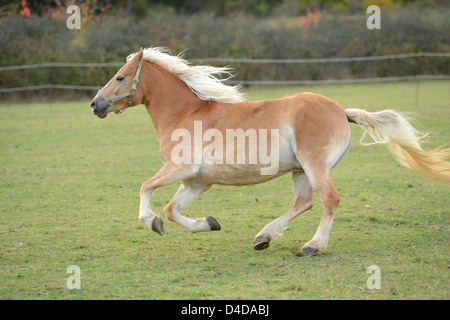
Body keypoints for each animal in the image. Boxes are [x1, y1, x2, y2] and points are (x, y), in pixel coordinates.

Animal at [91, 47, 450, 256]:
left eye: (120, 77)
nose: (96, 104)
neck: (184, 113)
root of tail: (341, 111)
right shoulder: (197, 182)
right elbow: (171, 209)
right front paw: (209, 223)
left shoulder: (180, 169)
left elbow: (146, 189)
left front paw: (150, 222)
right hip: (300, 171)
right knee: (304, 202)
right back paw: (263, 237)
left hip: (314, 165)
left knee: (329, 200)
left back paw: (313, 246)